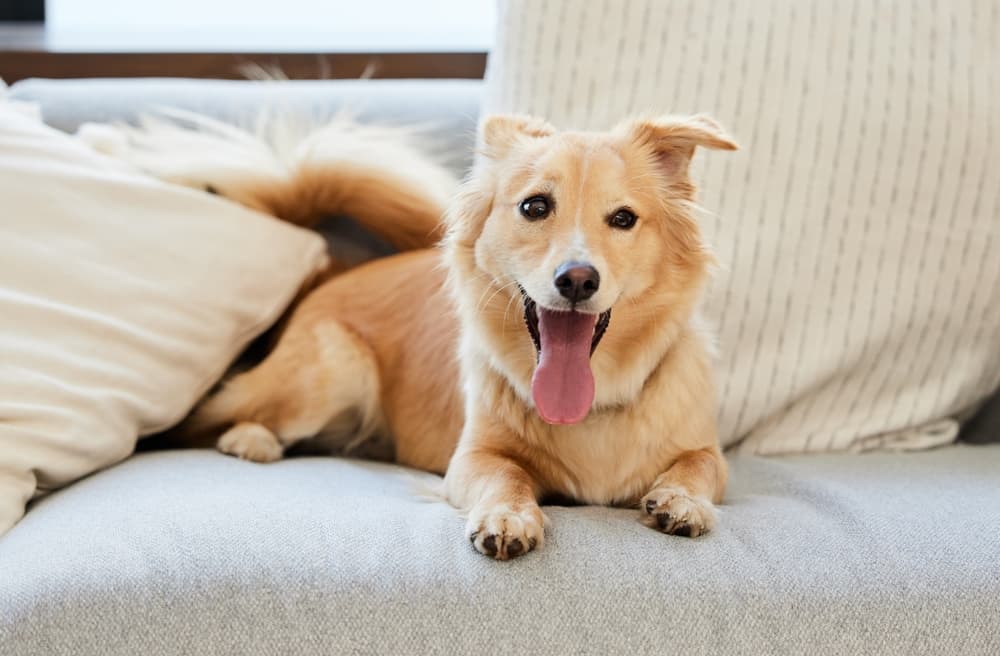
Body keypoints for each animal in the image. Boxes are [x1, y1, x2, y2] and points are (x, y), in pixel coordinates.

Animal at [86, 107, 740, 560]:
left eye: (624, 219)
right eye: (534, 207)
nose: (577, 279)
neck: (591, 404)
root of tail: (334, 270)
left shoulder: (707, 452)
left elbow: (698, 469)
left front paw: (681, 501)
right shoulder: (472, 458)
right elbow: (507, 475)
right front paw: (509, 516)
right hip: (326, 376)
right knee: (219, 412)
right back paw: (250, 440)